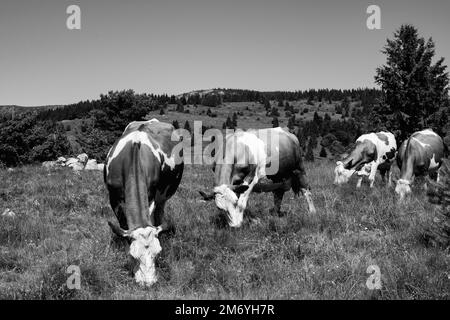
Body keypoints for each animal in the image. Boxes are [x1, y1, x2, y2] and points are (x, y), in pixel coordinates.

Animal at [104, 119, 184, 286]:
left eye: (158, 253)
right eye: (134, 255)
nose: (149, 283)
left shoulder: (151, 196)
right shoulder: (113, 198)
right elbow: (122, 226)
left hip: (163, 195)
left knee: (159, 213)